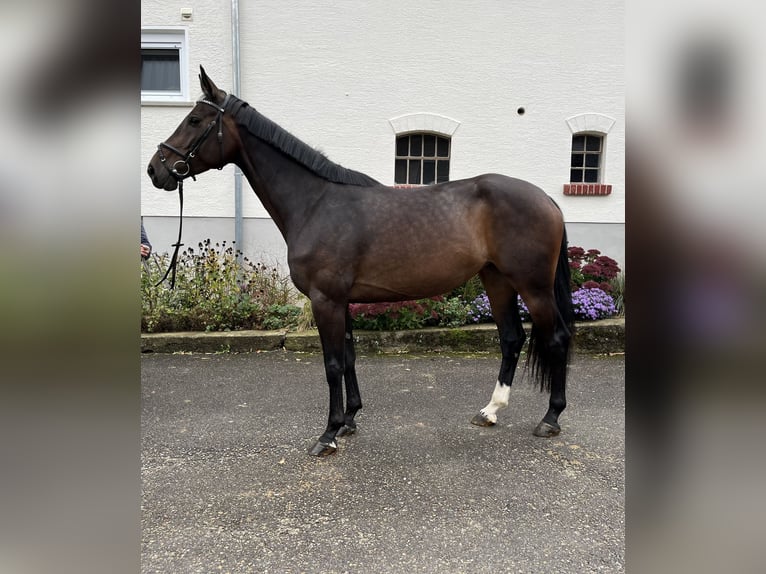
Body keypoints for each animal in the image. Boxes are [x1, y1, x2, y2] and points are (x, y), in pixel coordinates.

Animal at [147, 67, 572, 456]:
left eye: (195, 120)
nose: (156, 169)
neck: (315, 203)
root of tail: (548, 200)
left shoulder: (326, 300)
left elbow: (333, 364)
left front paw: (328, 435)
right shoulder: (341, 301)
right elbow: (349, 357)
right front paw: (350, 419)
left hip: (533, 286)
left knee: (556, 337)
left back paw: (551, 418)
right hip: (496, 280)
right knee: (511, 338)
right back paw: (490, 411)